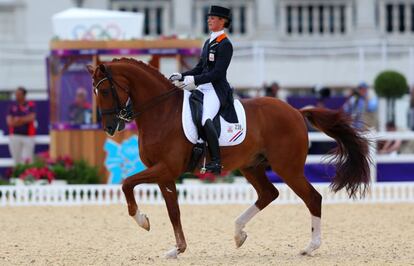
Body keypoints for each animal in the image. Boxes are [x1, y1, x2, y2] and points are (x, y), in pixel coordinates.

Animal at [85, 57, 370, 258]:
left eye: (106, 91)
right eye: (96, 93)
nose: (109, 128)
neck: (161, 111)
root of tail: (296, 111)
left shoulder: (165, 168)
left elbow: (127, 184)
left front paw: (142, 220)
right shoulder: (165, 173)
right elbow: (173, 210)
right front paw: (177, 249)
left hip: (287, 168)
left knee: (312, 198)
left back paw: (310, 247)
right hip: (252, 167)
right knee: (268, 194)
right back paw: (238, 233)